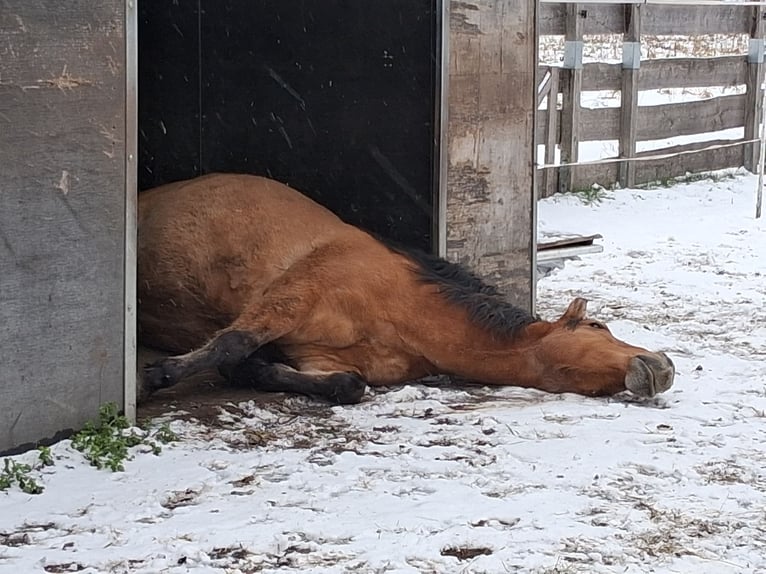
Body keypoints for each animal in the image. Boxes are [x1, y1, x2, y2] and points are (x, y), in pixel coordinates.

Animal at [137, 173, 675, 404]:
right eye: (598, 326)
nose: (663, 370)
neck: (400, 310)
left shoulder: (320, 359)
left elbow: (346, 385)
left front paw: (255, 370)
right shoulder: (288, 301)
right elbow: (231, 344)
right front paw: (153, 378)